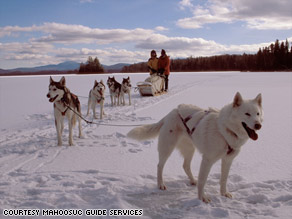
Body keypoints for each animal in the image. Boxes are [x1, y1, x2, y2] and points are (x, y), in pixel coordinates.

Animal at [127, 91, 262, 203]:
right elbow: (203, 180)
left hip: (190, 149)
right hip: (167, 148)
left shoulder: (227, 160)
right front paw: (202, 198)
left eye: (258, 113)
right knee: (160, 166)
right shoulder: (207, 160)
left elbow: (224, 179)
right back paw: (161, 184)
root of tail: (172, 111)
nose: (258, 125)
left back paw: (192, 180)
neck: (224, 130)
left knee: (185, 166)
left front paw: (224, 193)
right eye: (247, 114)